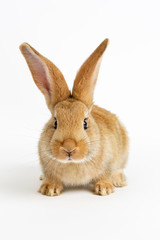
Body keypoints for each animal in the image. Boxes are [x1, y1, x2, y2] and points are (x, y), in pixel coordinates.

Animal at [19, 39, 129, 196]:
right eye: (55, 123)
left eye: (85, 123)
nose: (69, 148)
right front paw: (49, 189)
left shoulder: (109, 162)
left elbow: (104, 175)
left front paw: (105, 189)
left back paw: (119, 180)